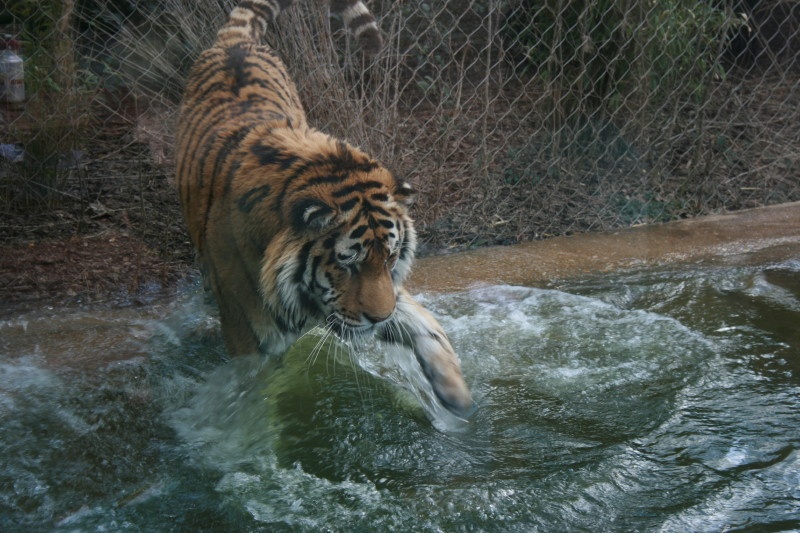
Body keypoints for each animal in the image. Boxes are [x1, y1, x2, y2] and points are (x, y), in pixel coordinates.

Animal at [175, 0, 472, 416]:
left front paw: (455, 393)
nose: (380, 318)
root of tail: (233, 43)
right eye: (348, 264)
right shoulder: (252, 345)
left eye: (390, 257)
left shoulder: (387, 294)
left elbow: (424, 324)